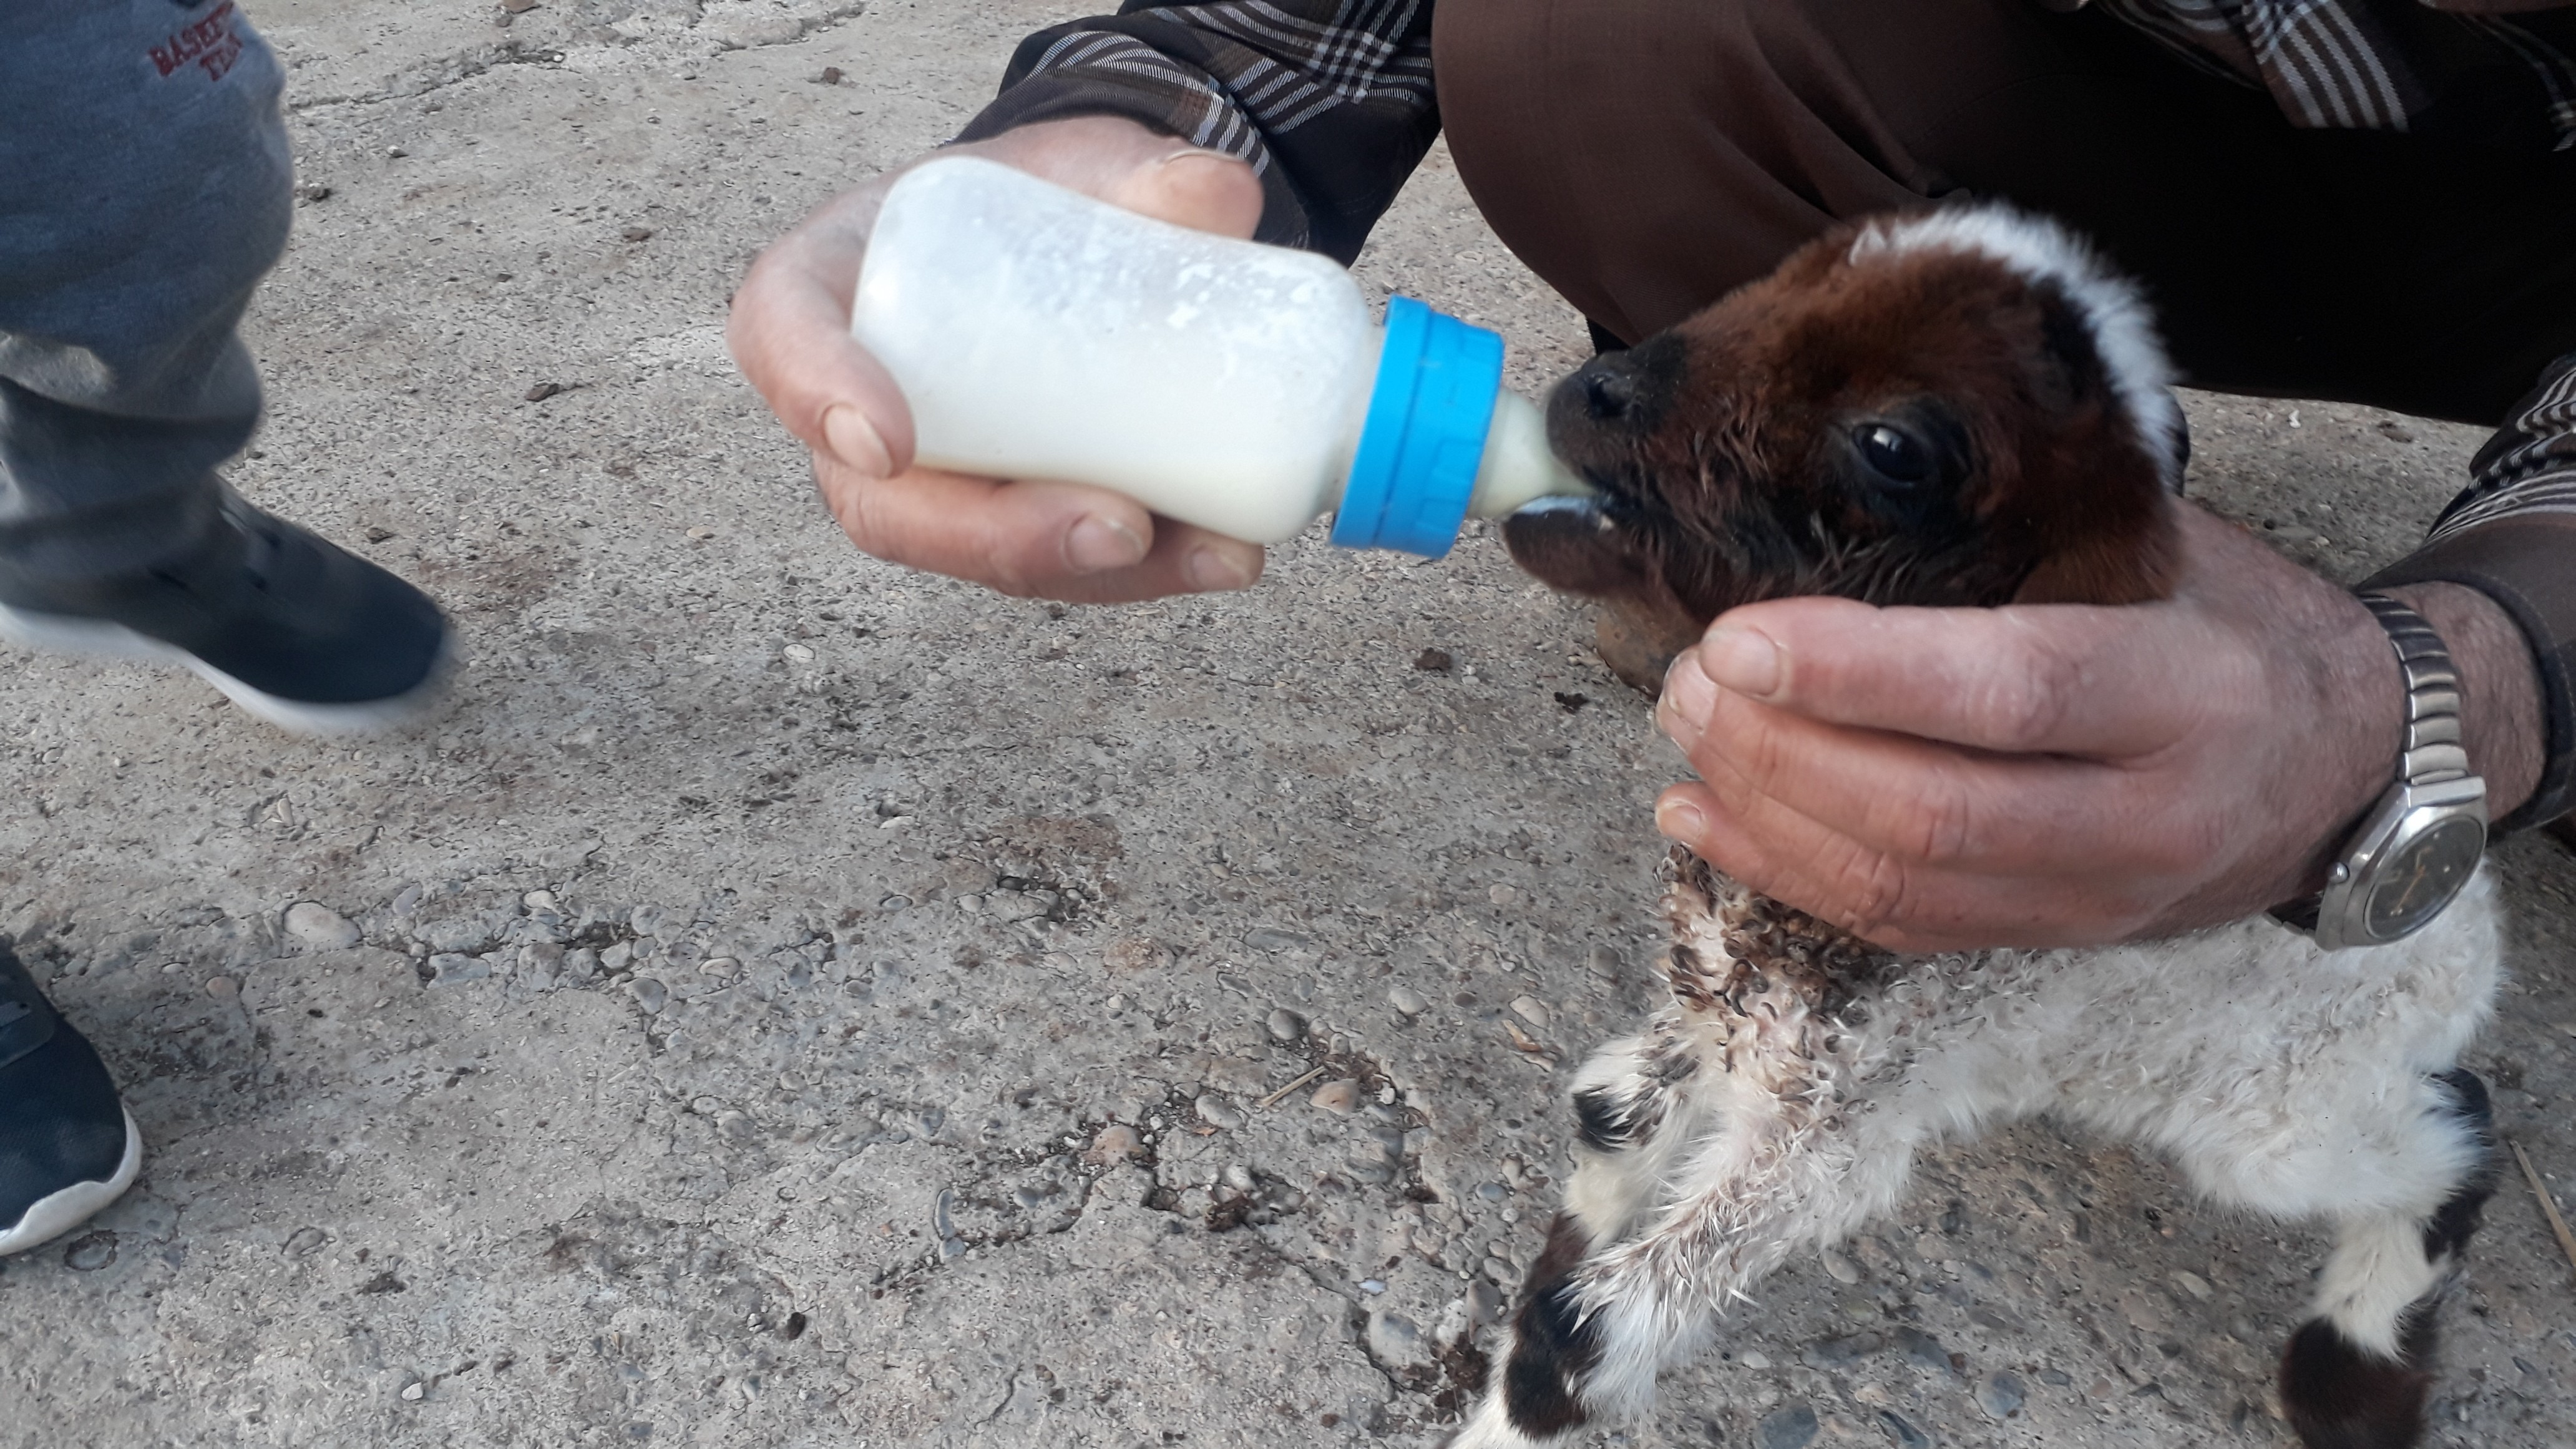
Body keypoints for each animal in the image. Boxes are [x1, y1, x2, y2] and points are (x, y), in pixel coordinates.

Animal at [1473, 206, 2493, 1443]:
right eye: (1766, 293)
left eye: (1892, 447)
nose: (1597, 390)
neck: (1793, 924)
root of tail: (2470, 917)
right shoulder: (1720, 1017)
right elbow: (1609, 1119)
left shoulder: (1836, 1125)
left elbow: (1583, 1334)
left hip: (2273, 1113)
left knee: (2454, 1130)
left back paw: (2350, 1381)